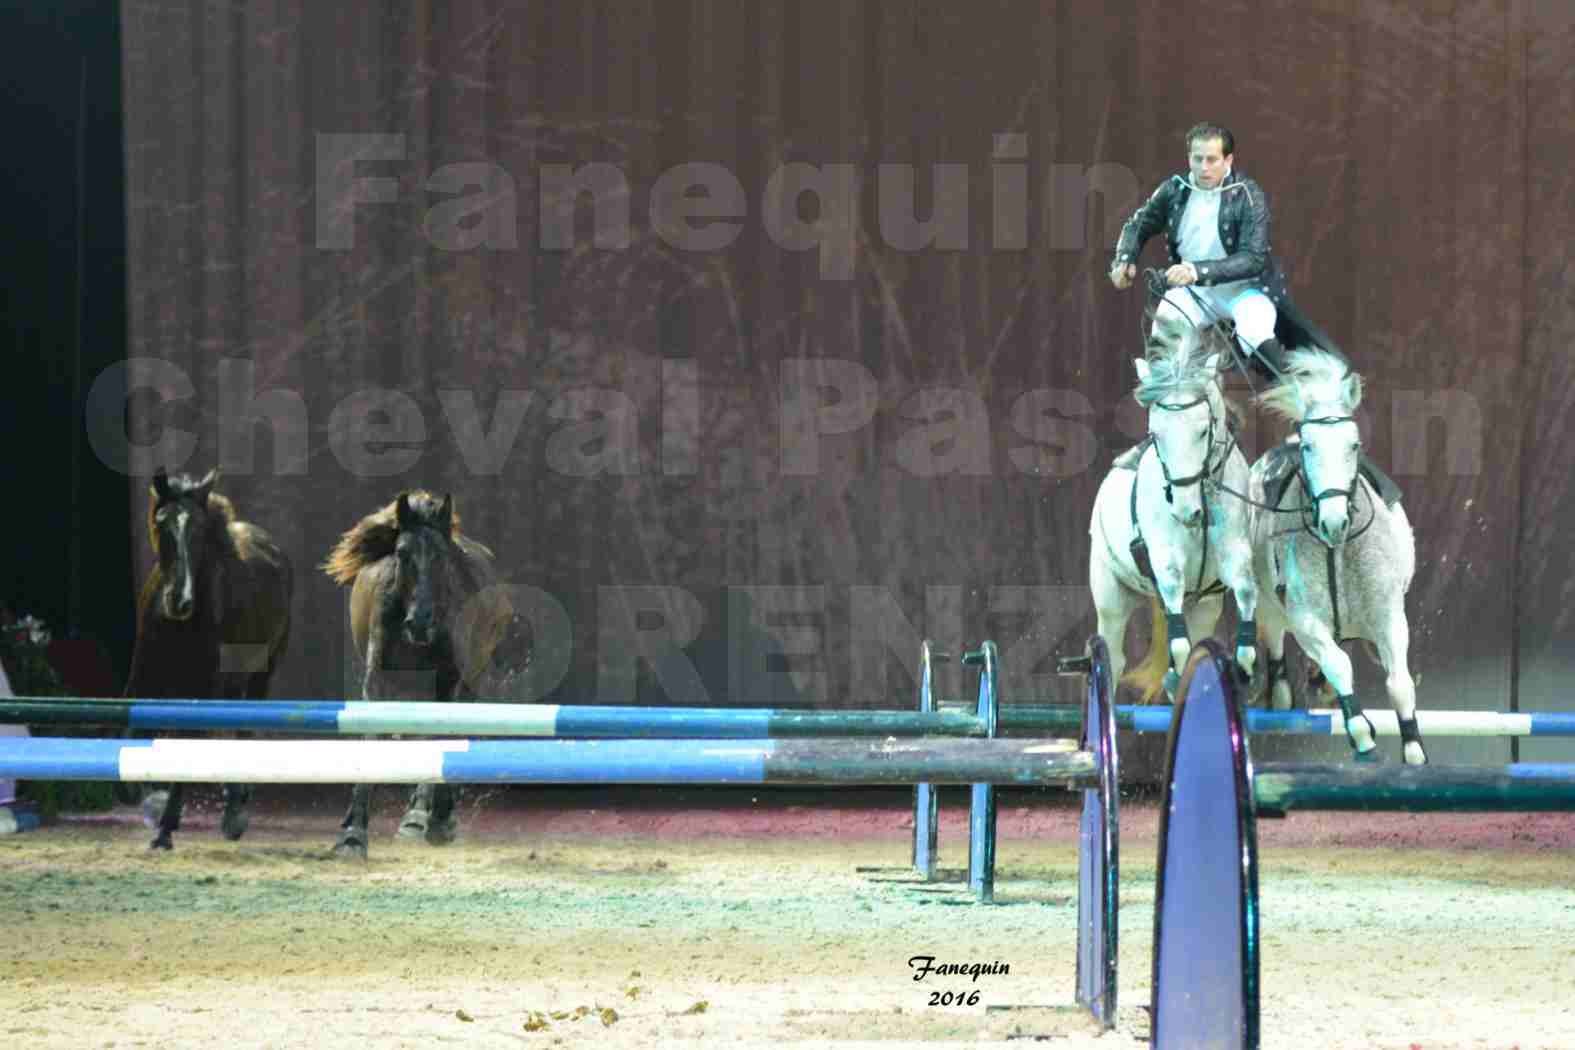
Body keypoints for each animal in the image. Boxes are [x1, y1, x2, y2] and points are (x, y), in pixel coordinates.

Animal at [124, 469, 294, 856]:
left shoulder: (204, 689)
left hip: (261, 672)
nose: (179, 600)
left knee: (242, 729)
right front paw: (154, 807)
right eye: (161, 524)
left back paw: (234, 811)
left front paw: (165, 826)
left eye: (199, 531)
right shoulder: (144, 682)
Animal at [319, 488, 510, 856]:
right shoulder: (377, 678)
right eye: (402, 553)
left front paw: (437, 819)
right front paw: (353, 833)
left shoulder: (452, 681)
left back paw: (427, 815)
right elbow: (373, 737)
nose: (420, 622)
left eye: (440, 556)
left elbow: (443, 737)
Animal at [1089, 316, 1260, 702]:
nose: (1186, 512)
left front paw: (1245, 668)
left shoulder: (1234, 556)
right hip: (1111, 597)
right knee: (1114, 657)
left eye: (1203, 431)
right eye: (1156, 434)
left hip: (1205, 606)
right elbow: (1180, 647)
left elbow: (1245, 591)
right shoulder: (1167, 567)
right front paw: (1175, 676)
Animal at [1247, 352, 1436, 765]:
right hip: (1268, 603)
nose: (1334, 521)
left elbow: (1399, 684)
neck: (1337, 549)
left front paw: (1414, 750)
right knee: (1274, 636)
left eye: (1354, 444)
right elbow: (1338, 664)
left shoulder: (1389, 615)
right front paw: (1362, 735)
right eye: (1308, 447)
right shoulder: (1304, 619)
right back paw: (1281, 690)